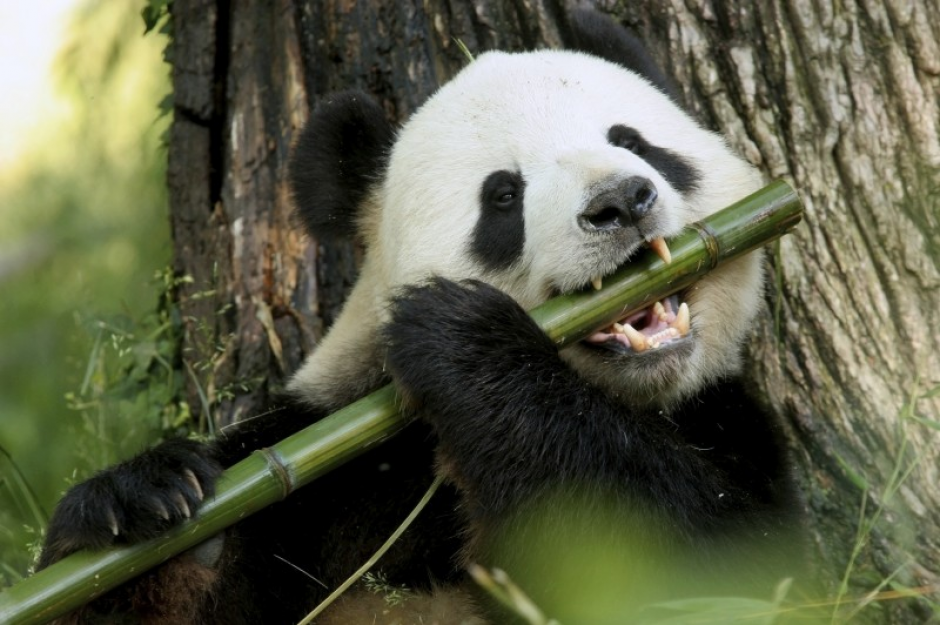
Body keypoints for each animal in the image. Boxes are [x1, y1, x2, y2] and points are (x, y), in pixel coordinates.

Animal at [38, 9, 801, 625]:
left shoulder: (728, 422)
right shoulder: (329, 467)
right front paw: (143, 506)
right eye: (503, 195)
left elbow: (702, 564)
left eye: (635, 142)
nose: (621, 200)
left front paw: (462, 340)